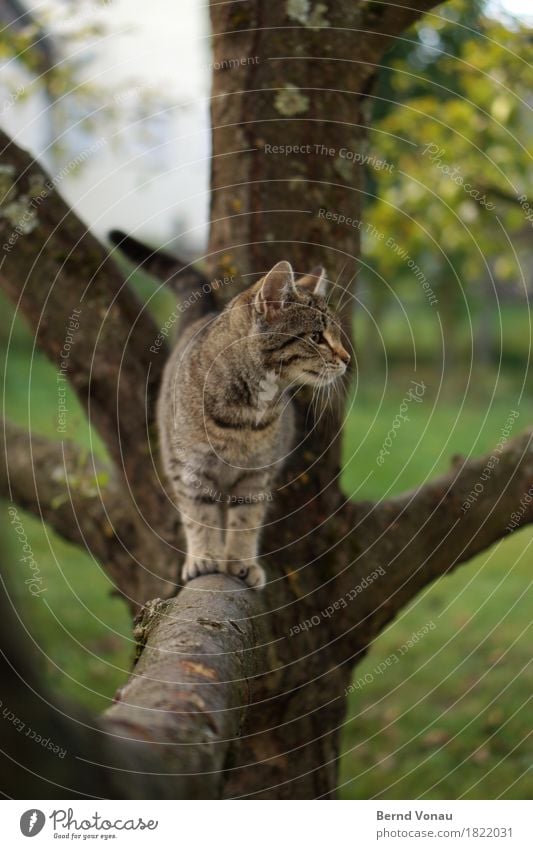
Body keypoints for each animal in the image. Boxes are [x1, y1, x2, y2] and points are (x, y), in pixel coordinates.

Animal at [157, 262, 350, 588]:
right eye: (317, 337)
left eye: (336, 333)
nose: (347, 358)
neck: (246, 416)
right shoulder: (192, 468)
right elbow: (199, 515)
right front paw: (204, 556)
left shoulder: (258, 472)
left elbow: (246, 519)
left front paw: (240, 561)